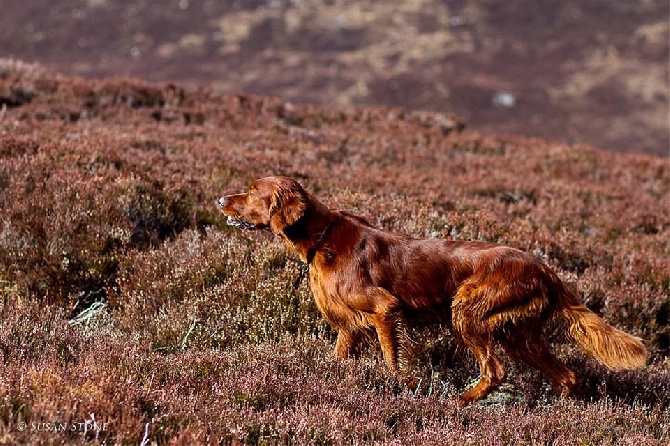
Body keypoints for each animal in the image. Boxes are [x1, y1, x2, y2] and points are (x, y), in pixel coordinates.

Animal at [220, 176, 652, 406]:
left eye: (253, 191)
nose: (221, 199)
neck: (322, 237)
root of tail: (544, 268)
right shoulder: (348, 326)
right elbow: (341, 356)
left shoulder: (385, 309)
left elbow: (393, 360)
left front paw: (400, 388)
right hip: (518, 333)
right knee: (565, 375)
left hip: (468, 310)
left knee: (495, 370)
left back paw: (460, 403)